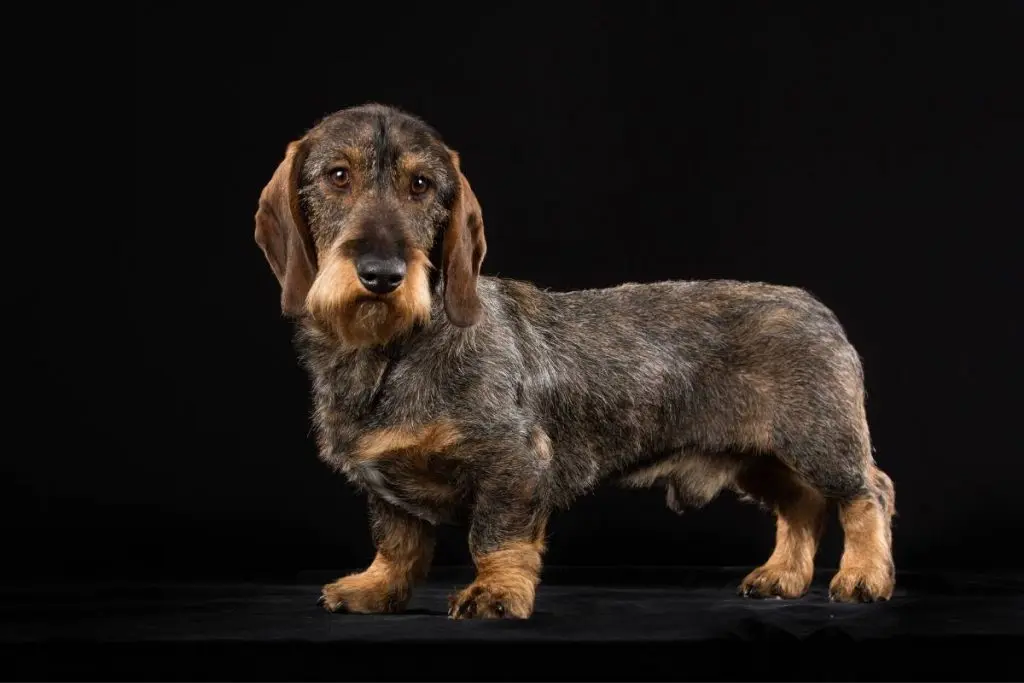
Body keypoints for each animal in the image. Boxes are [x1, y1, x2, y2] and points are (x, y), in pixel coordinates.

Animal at [256, 101, 897, 618]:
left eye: (421, 185)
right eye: (338, 176)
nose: (382, 274)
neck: (389, 352)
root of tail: (818, 310)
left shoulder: (515, 464)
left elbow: (495, 537)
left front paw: (496, 592)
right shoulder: (387, 483)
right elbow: (397, 540)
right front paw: (376, 587)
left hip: (818, 442)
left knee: (867, 493)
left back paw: (864, 576)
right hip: (758, 456)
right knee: (801, 506)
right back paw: (782, 575)